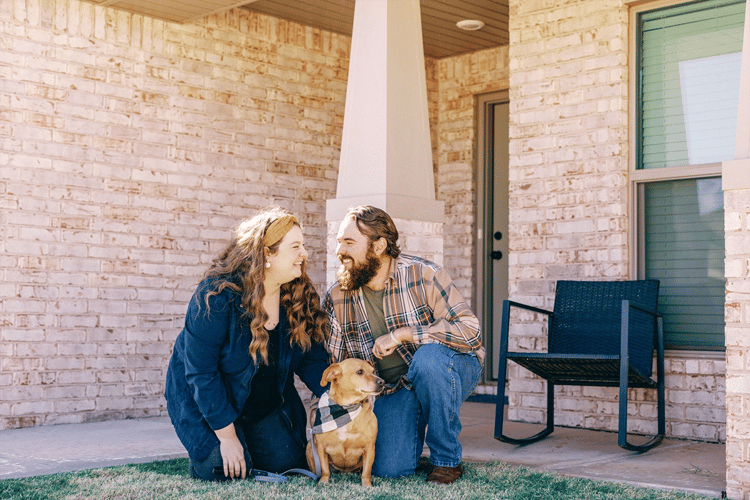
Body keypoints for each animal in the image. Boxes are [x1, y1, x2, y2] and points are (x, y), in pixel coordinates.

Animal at [306, 360, 384, 488]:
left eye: (373, 371)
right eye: (360, 372)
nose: (382, 381)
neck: (347, 409)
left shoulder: (369, 448)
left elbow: (366, 471)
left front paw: (367, 486)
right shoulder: (321, 447)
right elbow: (325, 470)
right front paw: (323, 482)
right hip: (310, 448)